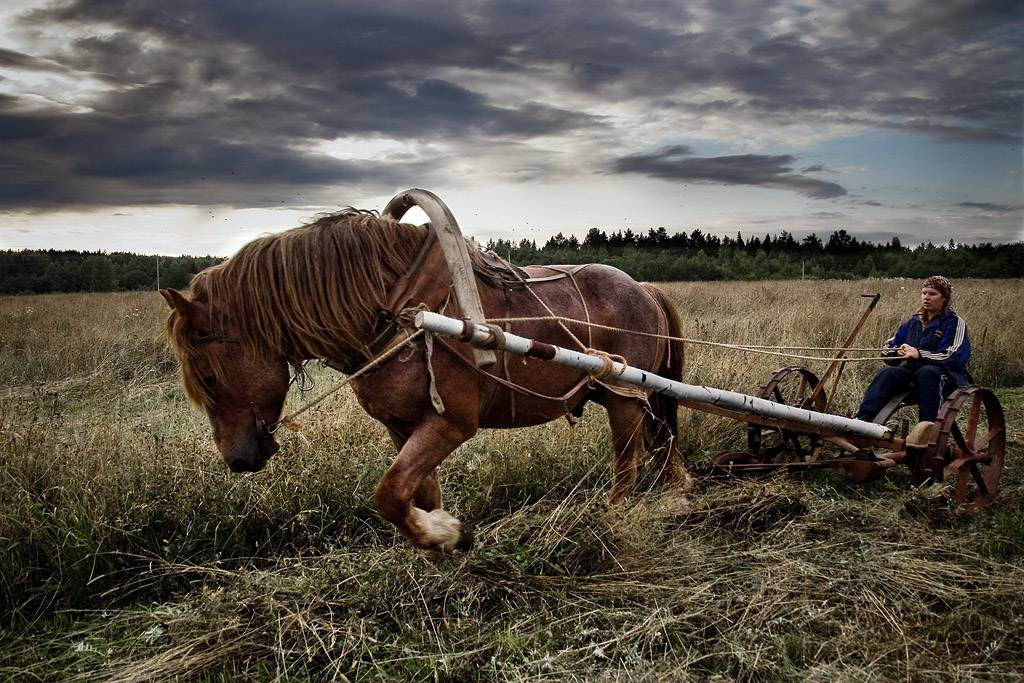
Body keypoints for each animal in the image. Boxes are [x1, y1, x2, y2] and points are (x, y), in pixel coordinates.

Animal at [159, 205, 688, 552]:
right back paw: (677, 496)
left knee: (628, 462)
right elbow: (419, 493)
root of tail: (644, 288)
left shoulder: (451, 423)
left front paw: (445, 535)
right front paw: (444, 543)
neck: (399, 312)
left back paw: (612, 519)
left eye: (208, 377)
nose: (237, 459)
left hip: (624, 396)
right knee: (661, 444)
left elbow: (389, 494)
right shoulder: (404, 427)